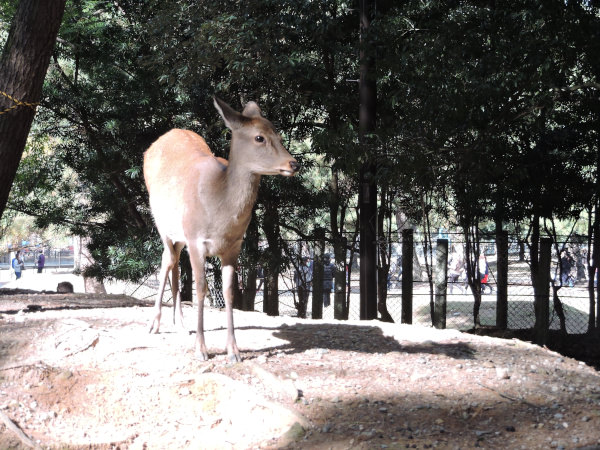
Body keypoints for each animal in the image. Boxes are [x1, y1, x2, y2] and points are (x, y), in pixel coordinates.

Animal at [141, 96, 300, 360]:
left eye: (278, 134)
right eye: (259, 137)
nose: (294, 164)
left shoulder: (234, 245)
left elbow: (228, 291)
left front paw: (233, 351)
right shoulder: (196, 240)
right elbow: (201, 289)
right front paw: (201, 350)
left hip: (180, 234)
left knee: (175, 262)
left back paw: (181, 324)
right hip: (161, 222)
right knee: (167, 259)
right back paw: (154, 324)